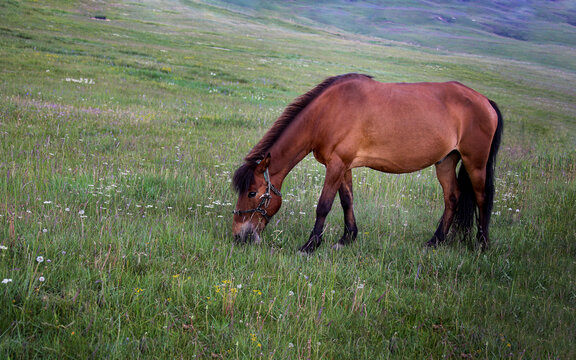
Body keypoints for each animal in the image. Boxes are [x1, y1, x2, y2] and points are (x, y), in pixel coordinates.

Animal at [232, 73, 502, 253]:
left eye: (252, 192)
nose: (238, 236)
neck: (327, 113)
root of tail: (485, 101)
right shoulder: (343, 166)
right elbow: (346, 200)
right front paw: (347, 239)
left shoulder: (337, 165)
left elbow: (324, 205)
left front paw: (310, 245)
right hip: (445, 161)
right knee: (453, 198)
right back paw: (435, 241)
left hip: (475, 162)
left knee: (482, 198)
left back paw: (482, 244)